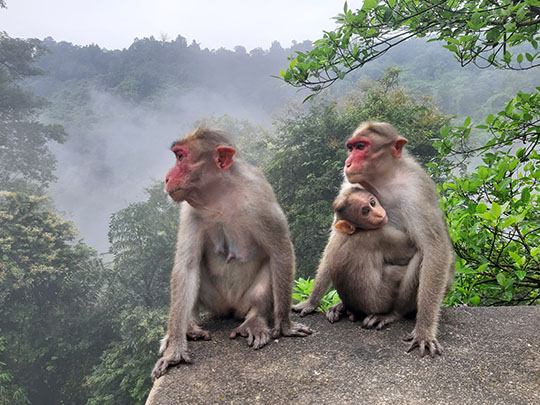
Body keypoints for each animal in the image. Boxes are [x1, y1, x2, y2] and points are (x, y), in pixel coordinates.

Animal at [152, 128, 312, 380]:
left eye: (180, 157)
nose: (167, 178)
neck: (220, 198)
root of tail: (231, 308)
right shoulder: (190, 210)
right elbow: (186, 266)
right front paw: (174, 350)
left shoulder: (259, 197)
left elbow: (280, 251)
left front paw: (285, 326)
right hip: (216, 302)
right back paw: (190, 326)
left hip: (243, 302)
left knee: (267, 271)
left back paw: (255, 320)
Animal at [294, 121, 454, 356]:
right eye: (351, 148)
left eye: (361, 147)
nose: (348, 162)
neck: (384, 179)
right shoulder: (349, 184)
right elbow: (336, 235)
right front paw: (312, 301)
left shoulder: (415, 189)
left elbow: (434, 249)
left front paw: (424, 331)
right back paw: (343, 306)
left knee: (421, 256)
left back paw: (393, 313)